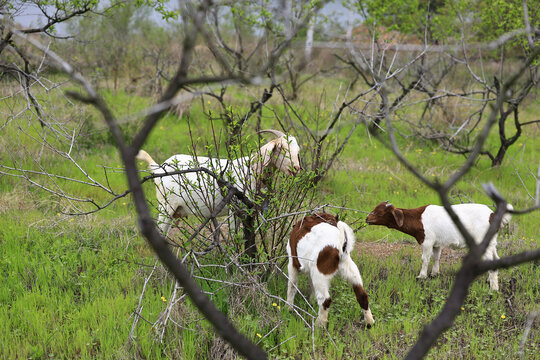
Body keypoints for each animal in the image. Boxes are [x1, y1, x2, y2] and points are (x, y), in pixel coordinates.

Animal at [137, 129, 302, 236]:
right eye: (281, 148)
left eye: (297, 151)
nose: (296, 168)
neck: (250, 170)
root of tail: (159, 168)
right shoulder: (234, 209)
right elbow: (233, 236)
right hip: (166, 207)